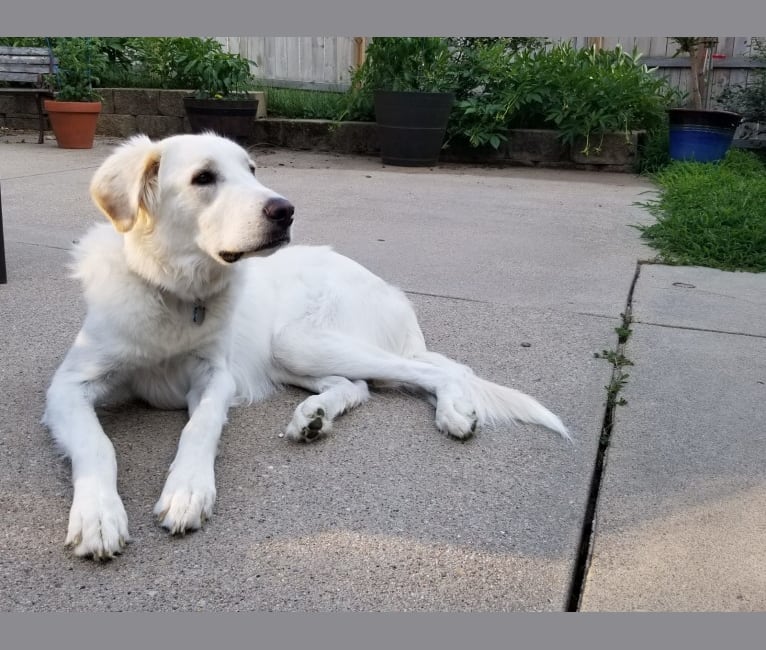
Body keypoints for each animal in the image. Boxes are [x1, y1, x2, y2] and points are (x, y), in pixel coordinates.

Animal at [43, 132, 568, 556]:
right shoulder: (67, 386)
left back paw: (452, 412)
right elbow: (97, 444)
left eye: (252, 169)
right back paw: (312, 417)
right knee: (357, 386)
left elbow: (199, 428)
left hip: (296, 340)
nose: (285, 210)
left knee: (437, 370)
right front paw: (98, 514)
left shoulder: (216, 378)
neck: (171, 289)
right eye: (203, 177)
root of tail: (391, 292)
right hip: (292, 355)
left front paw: (187, 490)